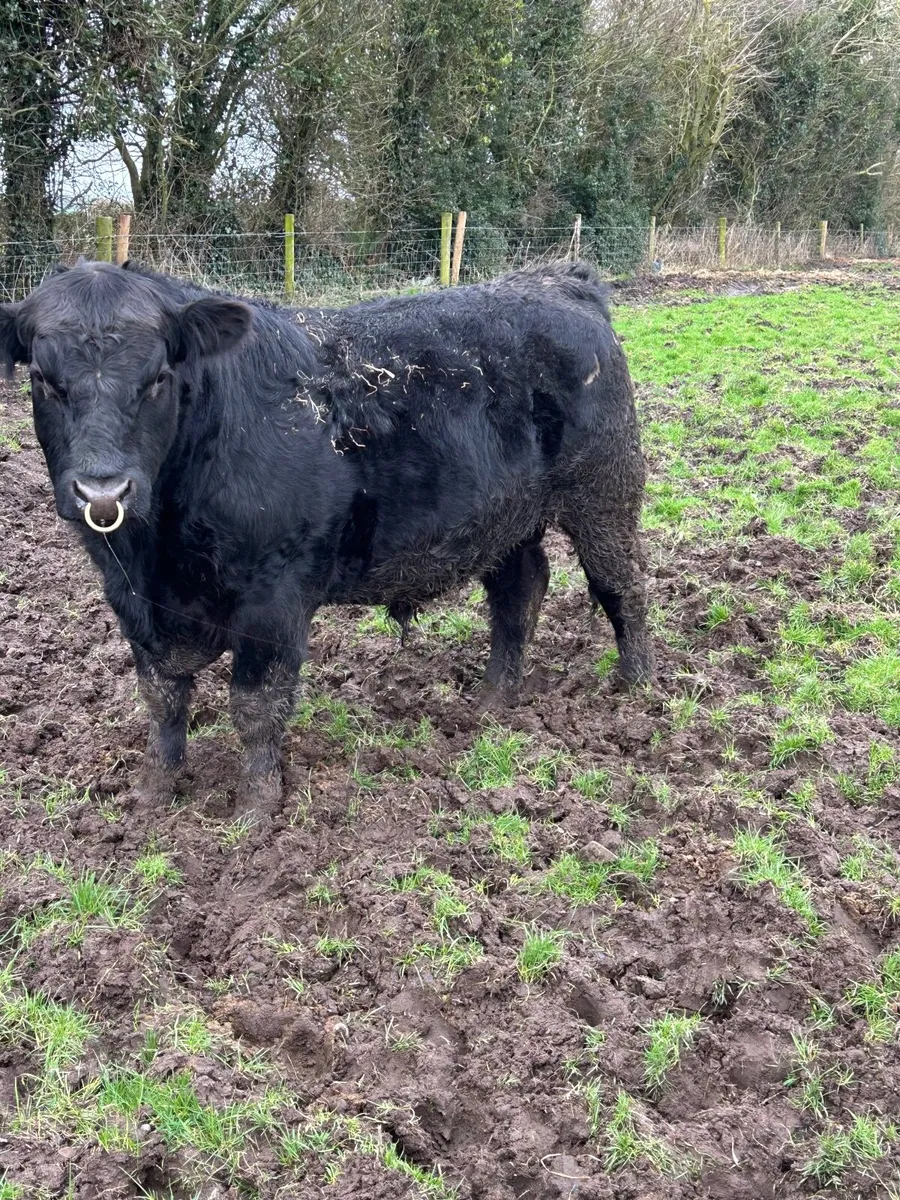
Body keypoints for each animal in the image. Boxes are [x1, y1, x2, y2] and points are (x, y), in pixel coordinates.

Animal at [0, 259, 651, 818]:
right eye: (43, 380)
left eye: (159, 377)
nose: (102, 491)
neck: (157, 554)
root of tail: (557, 280)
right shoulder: (131, 599)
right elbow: (162, 698)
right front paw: (151, 794)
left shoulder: (274, 598)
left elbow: (255, 705)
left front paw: (256, 808)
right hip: (506, 517)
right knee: (520, 591)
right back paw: (493, 702)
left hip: (606, 490)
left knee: (622, 585)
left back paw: (636, 686)